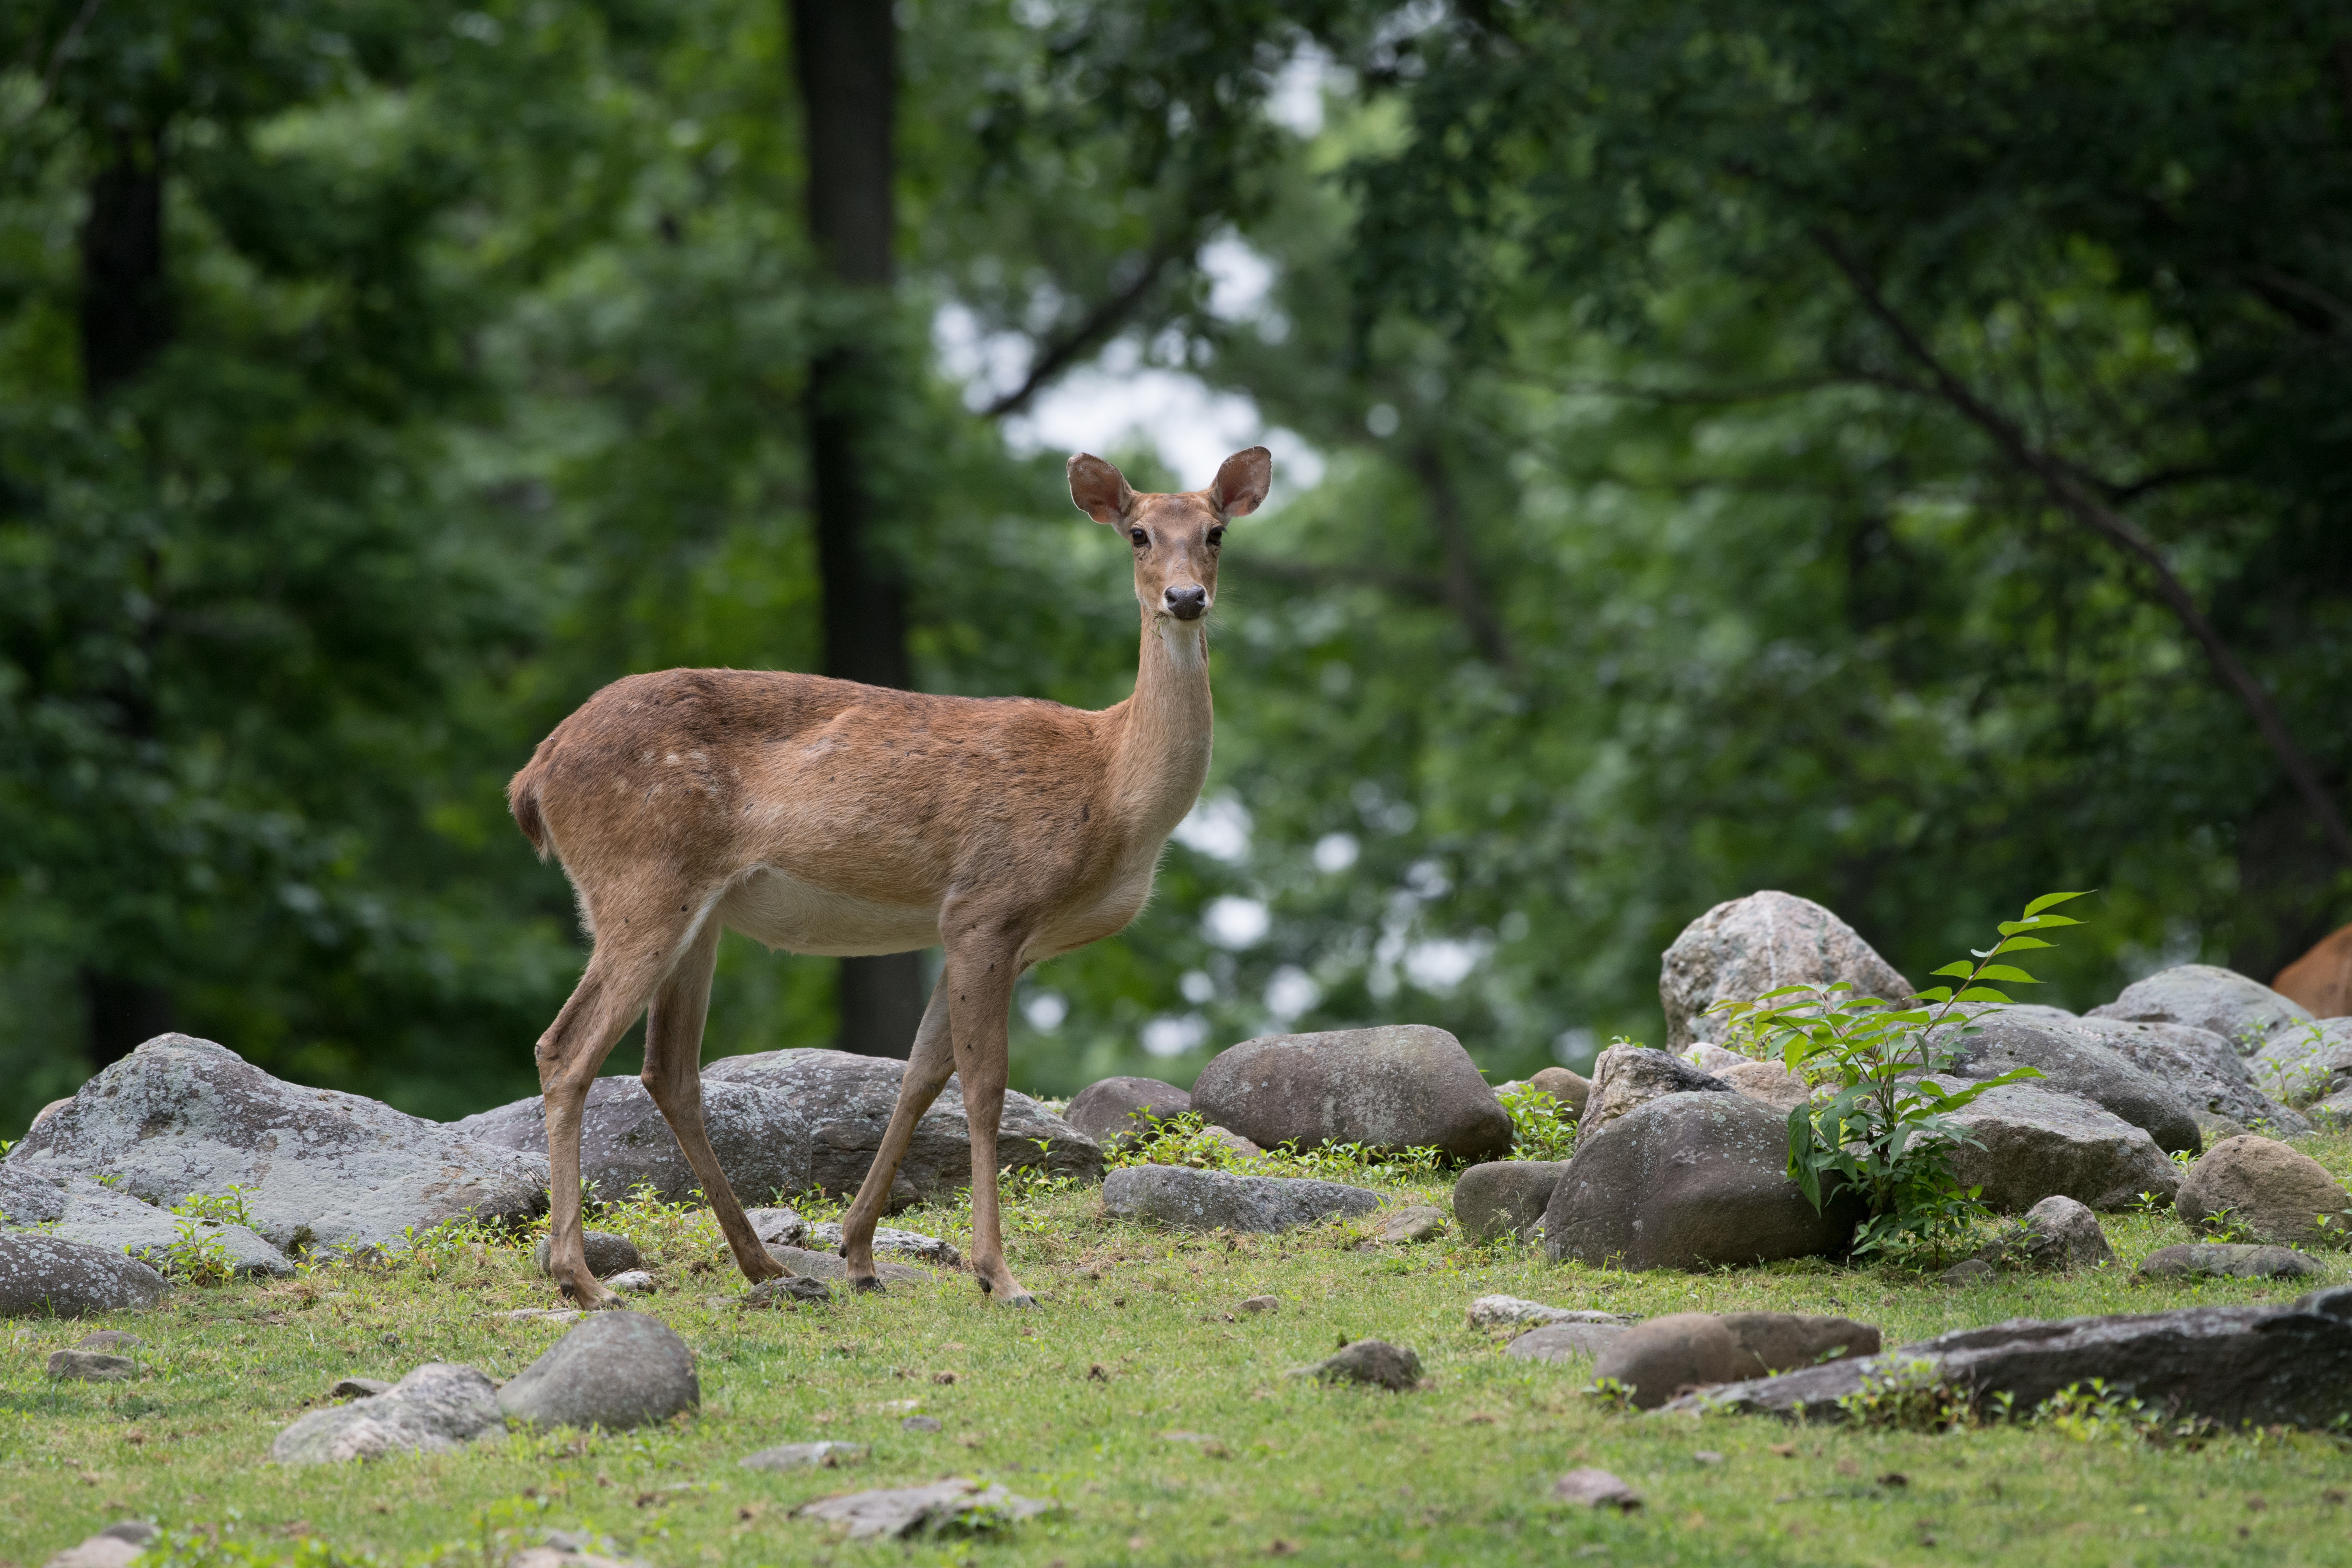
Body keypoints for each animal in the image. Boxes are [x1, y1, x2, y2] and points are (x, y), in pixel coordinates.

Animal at [506, 446, 1270, 1307]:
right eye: (1138, 534)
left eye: (1215, 532)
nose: (1185, 597)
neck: (1111, 791)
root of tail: (534, 776)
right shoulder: (989, 902)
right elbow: (982, 1088)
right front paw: (998, 1274)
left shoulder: (990, 933)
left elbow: (920, 1076)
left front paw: (860, 1253)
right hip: (639, 881)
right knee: (565, 1049)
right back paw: (583, 1280)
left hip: (696, 914)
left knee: (667, 1069)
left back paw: (764, 1265)